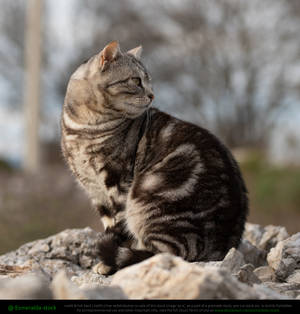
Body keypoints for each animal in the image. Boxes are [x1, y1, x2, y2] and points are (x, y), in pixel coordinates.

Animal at [61, 40, 248, 274]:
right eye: (136, 81)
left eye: (149, 82)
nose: (152, 95)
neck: (83, 127)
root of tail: (223, 246)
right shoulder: (96, 191)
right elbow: (109, 226)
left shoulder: (118, 185)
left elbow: (118, 230)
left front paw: (107, 264)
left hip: (148, 197)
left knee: (166, 252)